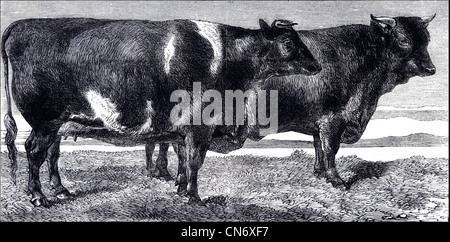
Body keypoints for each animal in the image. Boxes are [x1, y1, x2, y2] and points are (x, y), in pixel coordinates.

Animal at [2, 17, 320, 206]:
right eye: (288, 42)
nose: (316, 66)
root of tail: (21, 25)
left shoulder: (183, 128)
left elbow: (183, 157)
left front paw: (181, 189)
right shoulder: (200, 125)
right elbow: (194, 160)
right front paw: (194, 198)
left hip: (57, 123)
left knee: (50, 154)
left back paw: (59, 190)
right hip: (45, 120)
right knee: (35, 151)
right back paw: (38, 197)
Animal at [150, 14, 436, 191]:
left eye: (427, 39)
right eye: (403, 39)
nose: (431, 69)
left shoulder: (319, 122)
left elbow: (319, 147)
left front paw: (319, 173)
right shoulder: (333, 120)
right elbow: (330, 150)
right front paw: (337, 181)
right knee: (173, 146)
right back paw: (168, 176)